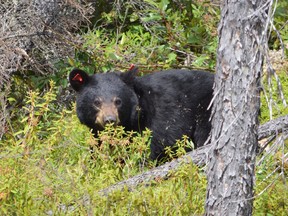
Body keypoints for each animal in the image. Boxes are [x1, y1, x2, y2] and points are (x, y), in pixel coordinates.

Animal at [70, 68, 214, 162]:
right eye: (96, 102)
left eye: (118, 101)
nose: (110, 120)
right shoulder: (96, 133)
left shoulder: (155, 122)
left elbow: (149, 148)